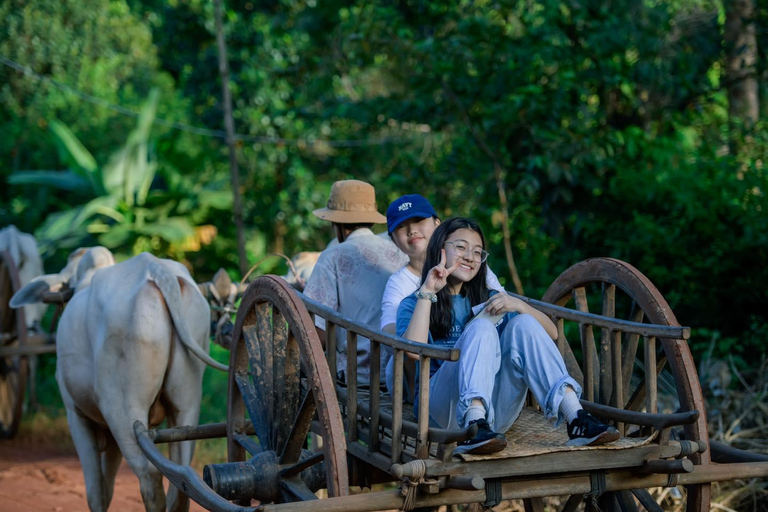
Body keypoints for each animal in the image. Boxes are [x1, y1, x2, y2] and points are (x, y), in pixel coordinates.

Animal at [11, 248, 225, 512]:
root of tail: (158, 271)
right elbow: (108, 487)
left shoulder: (76, 415)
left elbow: (96, 492)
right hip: (186, 405)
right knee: (182, 484)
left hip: (123, 409)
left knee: (150, 477)